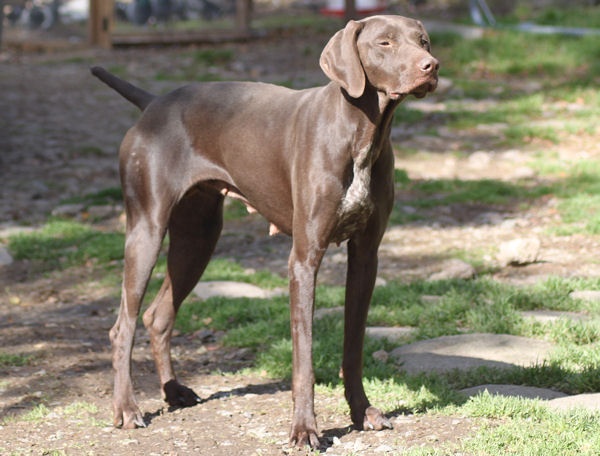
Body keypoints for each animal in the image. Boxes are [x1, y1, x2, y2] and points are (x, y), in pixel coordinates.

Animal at [92, 15, 440, 448]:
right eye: (385, 42)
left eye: (422, 41)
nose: (431, 66)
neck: (361, 134)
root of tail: (154, 102)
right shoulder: (304, 259)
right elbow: (304, 358)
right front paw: (305, 429)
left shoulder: (366, 256)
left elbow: (353, 345)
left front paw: (362, 412)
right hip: (147, 229)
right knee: (122, 325)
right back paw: (126, 408)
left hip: (197, 238)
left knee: (158, 316)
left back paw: (174, 392)